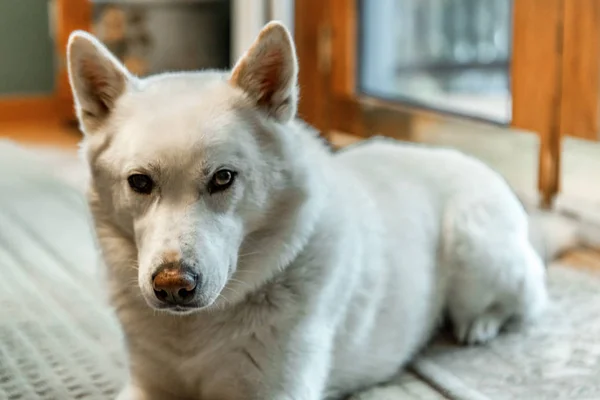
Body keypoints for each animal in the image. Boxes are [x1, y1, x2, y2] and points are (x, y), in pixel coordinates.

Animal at [67, 22, 548, 400]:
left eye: (223, 178)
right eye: (139, 182)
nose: (172, 286)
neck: (194, 332)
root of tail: (460, 155)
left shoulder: (277, 391)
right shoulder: (146, 385)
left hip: (475, 250)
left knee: (525, 297)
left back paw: (479, 324)